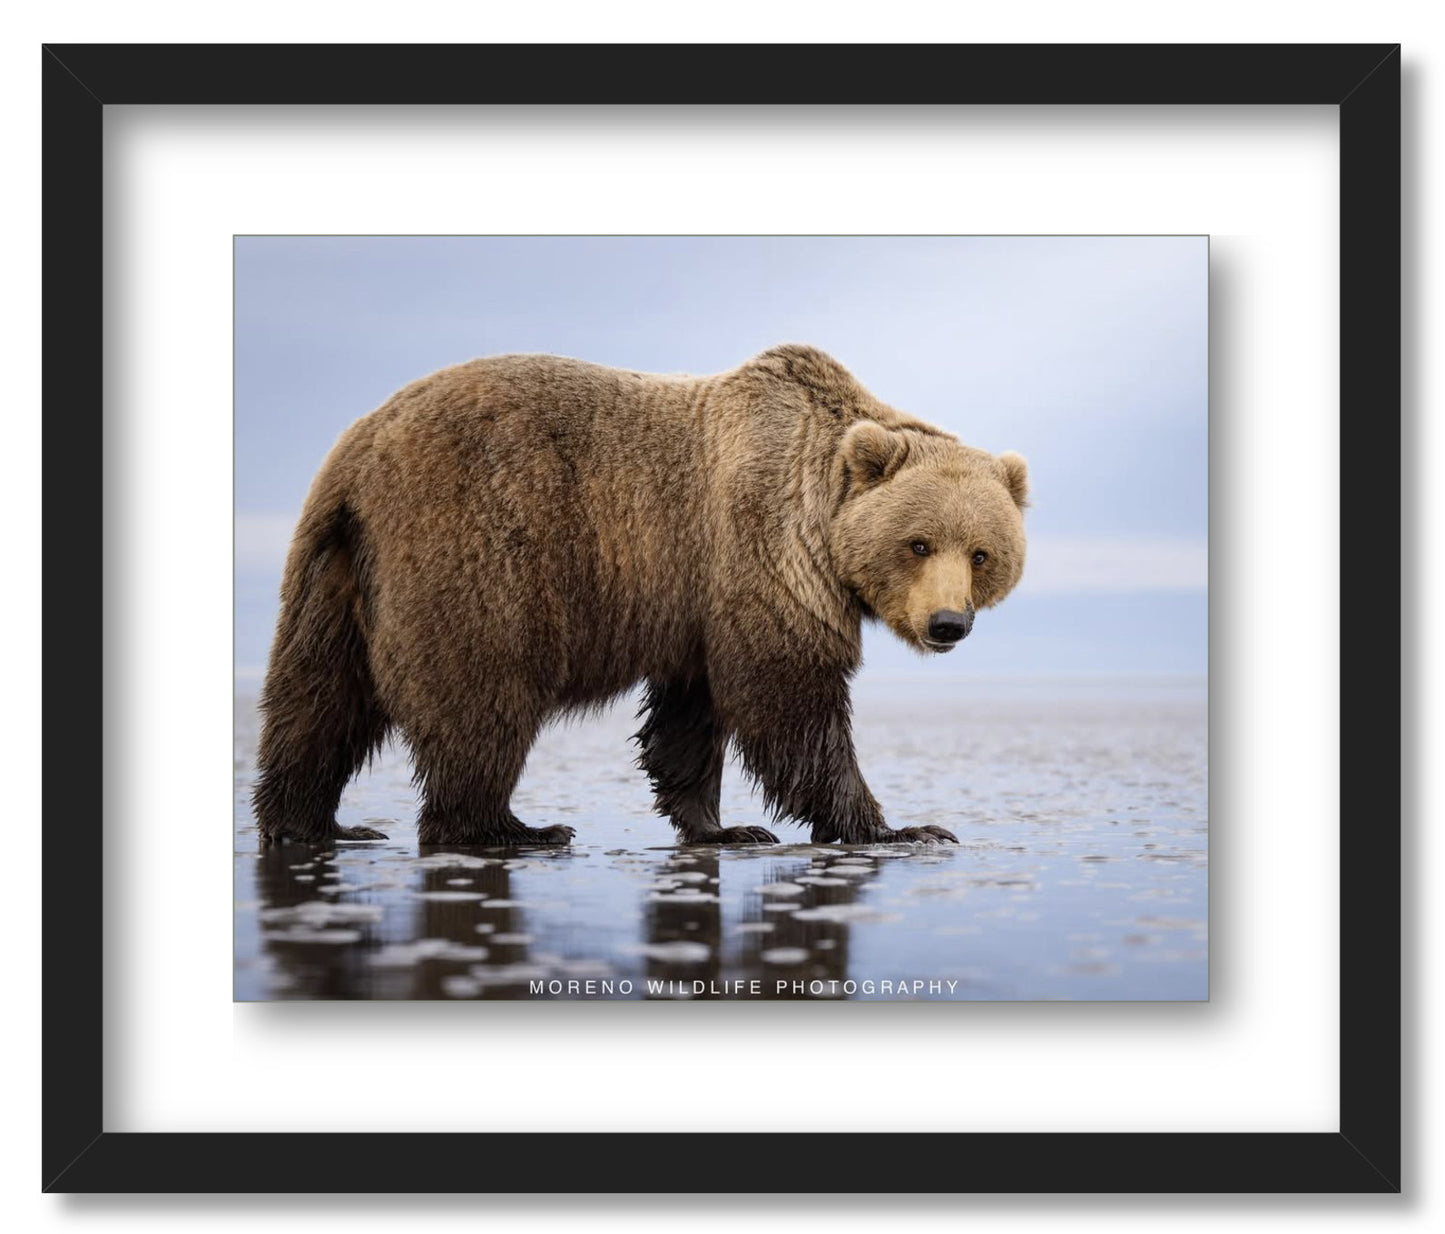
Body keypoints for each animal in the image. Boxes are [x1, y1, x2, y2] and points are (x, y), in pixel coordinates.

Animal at [252, 344, 1029, 848]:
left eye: (982, 553)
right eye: (918, 543)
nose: (947, 623)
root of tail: (359, 453)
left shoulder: (695, 601)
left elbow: (691, 714)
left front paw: (722, 826)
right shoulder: (761, 550)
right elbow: (789, 697)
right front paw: (901, 827)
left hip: (333, 572)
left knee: (318, 699)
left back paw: (313, 822)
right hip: (474, 545)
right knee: (481, 695)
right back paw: (509, 827)